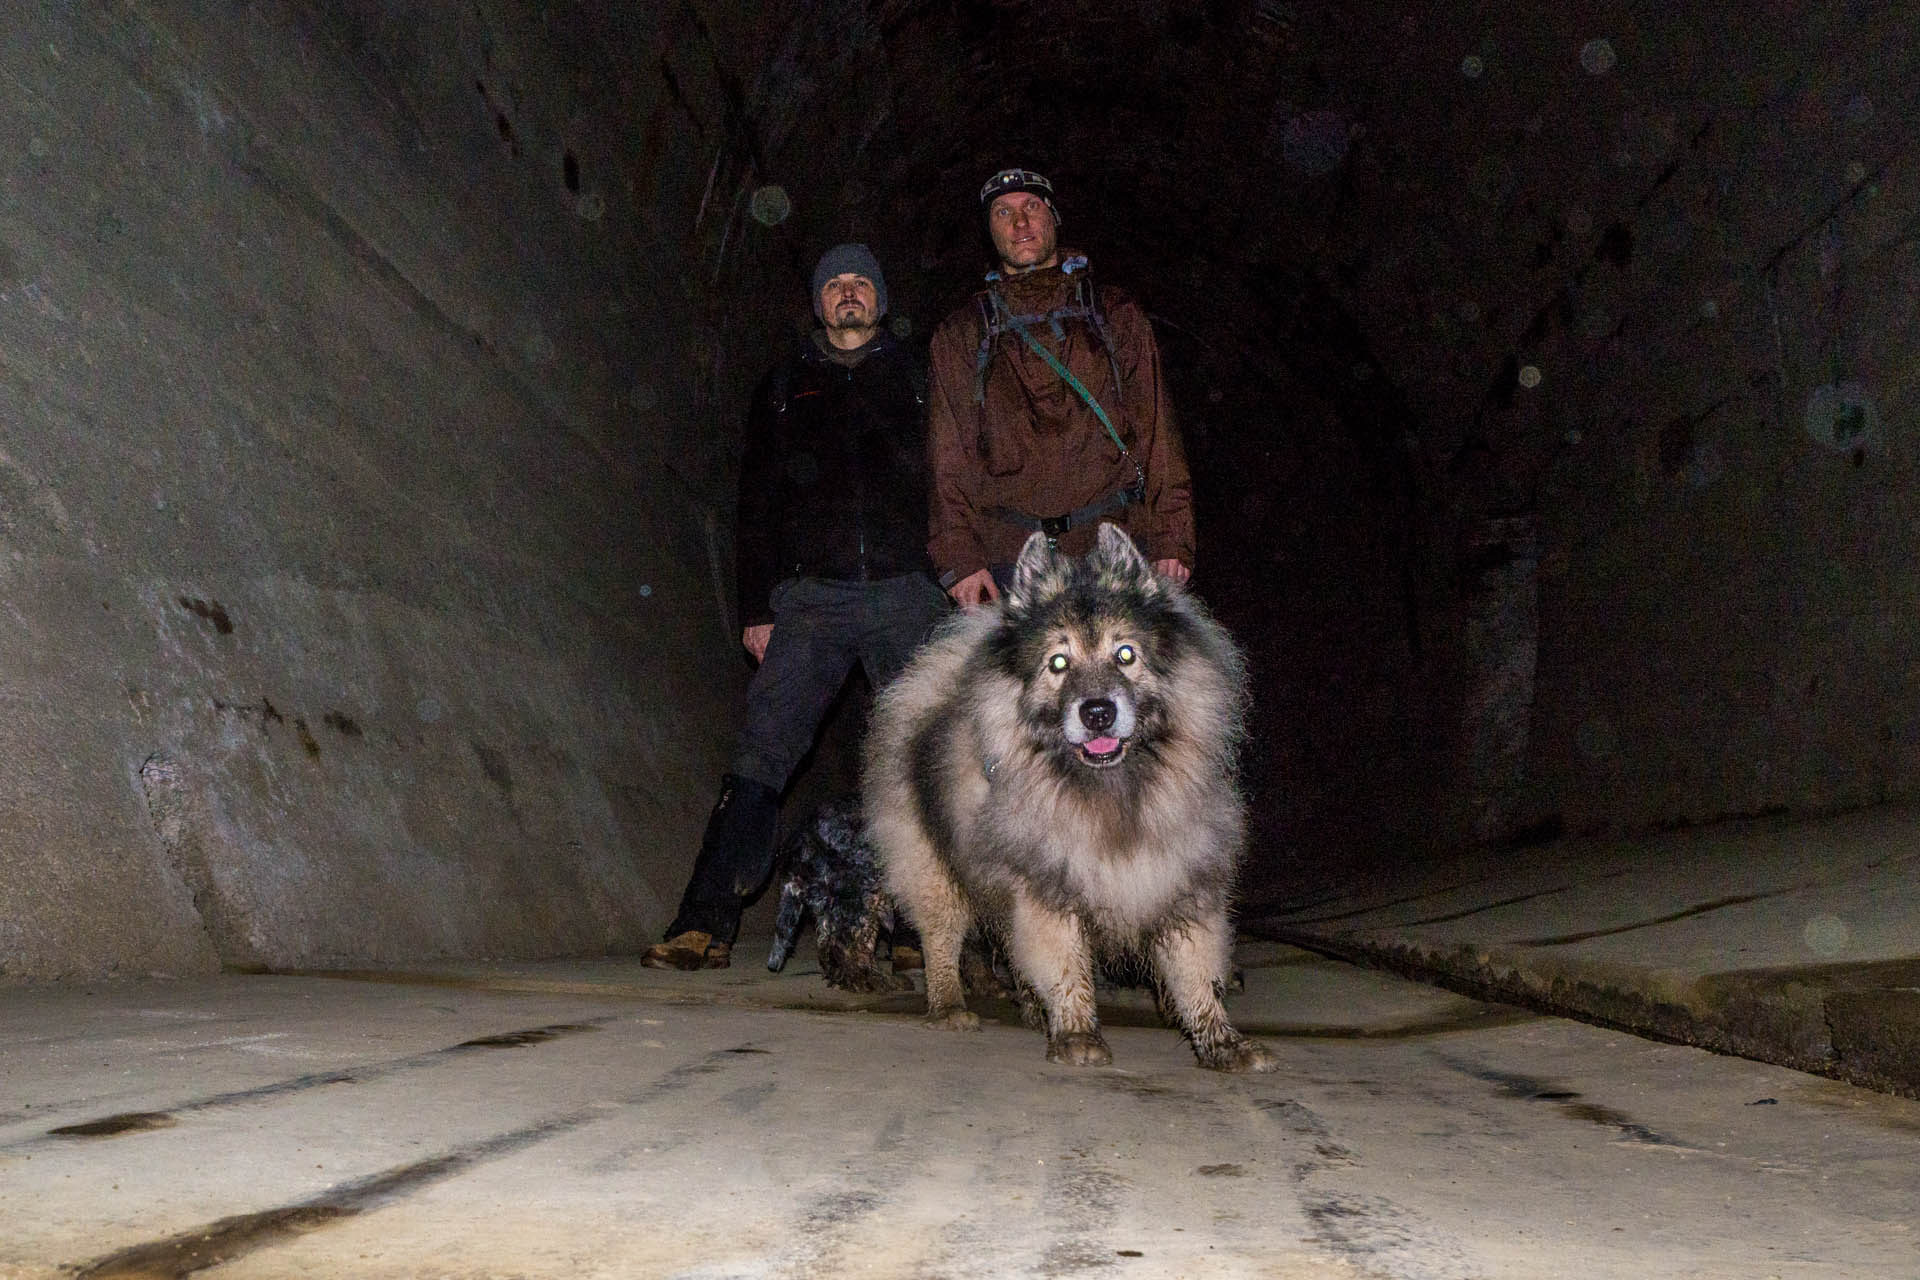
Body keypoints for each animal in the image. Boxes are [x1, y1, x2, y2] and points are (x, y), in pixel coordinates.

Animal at [867, 521, 1274, 1074]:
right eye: (1058, 663)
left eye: (1125, 654)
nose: (1097, 711)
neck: (1110, 789)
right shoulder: (1046, 888)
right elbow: (1063, 964)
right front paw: (1077, 1033)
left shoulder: (1179, 877)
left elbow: (1196, 973)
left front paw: (1223, 1042)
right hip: (932, 872)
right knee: (941, 940)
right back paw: (949, 1005)